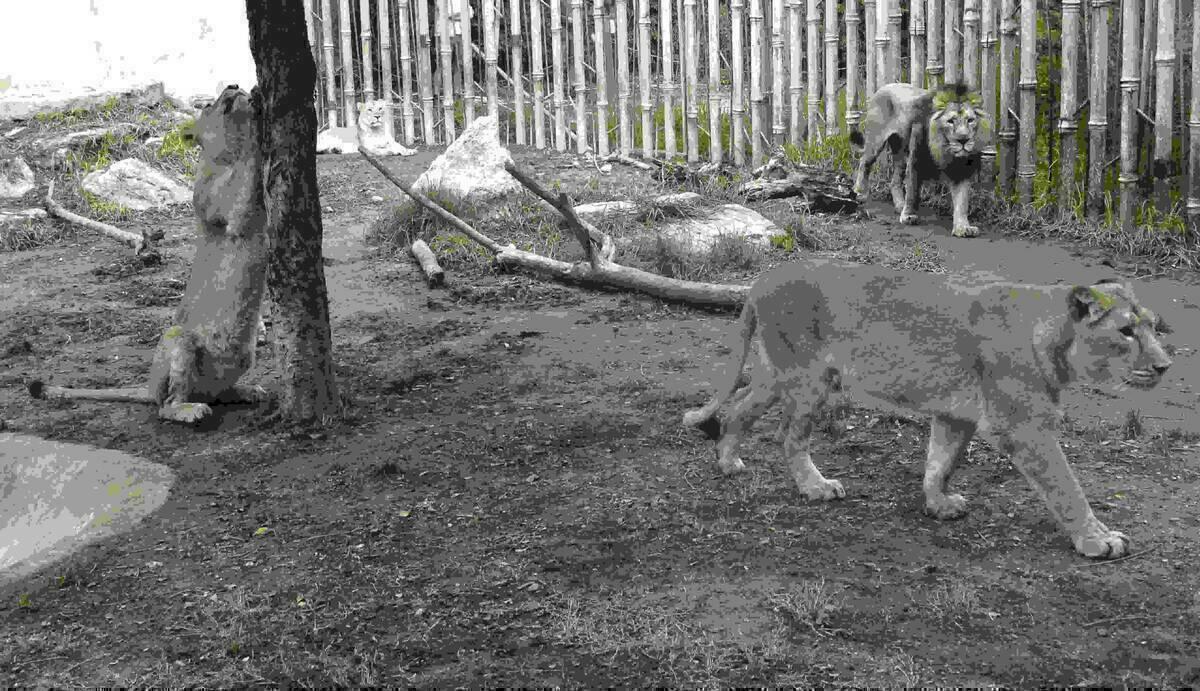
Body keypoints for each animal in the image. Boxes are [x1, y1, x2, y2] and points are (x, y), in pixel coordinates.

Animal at [29, 84, 271, 423]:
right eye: (208, 104)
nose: (233, 86)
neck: (224, 155)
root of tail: (146, 387)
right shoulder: (232, 214)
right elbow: (251, 166)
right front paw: (257, 107)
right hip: (178, 339)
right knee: (166, 405)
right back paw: (190, 411)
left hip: (243, 357)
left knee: (219, 393)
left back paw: (246, 390)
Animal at [683, 258, 1172, 559]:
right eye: (1126, 332)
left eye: (1152, 327)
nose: (1165, 366)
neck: (1051, 334)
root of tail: (764, 277)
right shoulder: (1023, 426)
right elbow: (1066, 486)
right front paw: (1097, 539)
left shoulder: (956, 414)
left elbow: (942, 460)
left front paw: (938, 503)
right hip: (808, 378)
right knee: (789, 436)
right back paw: (815, 487)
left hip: (777, 373)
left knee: (738, 408)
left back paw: (729, 461)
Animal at [850, 82, 992, 238]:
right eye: (950, 121)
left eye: (970, 120)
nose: (963, 140)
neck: (944, 148)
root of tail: (884, 87)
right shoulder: (916, 158)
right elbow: (913, 189)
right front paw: (908, 215)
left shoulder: (961, 170)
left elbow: (962, 201)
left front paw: (962, 227)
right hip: (876, 142)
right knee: (864, 164)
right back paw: (860, 193)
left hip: (900, 151)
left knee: (895, 180)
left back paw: (899, 205)